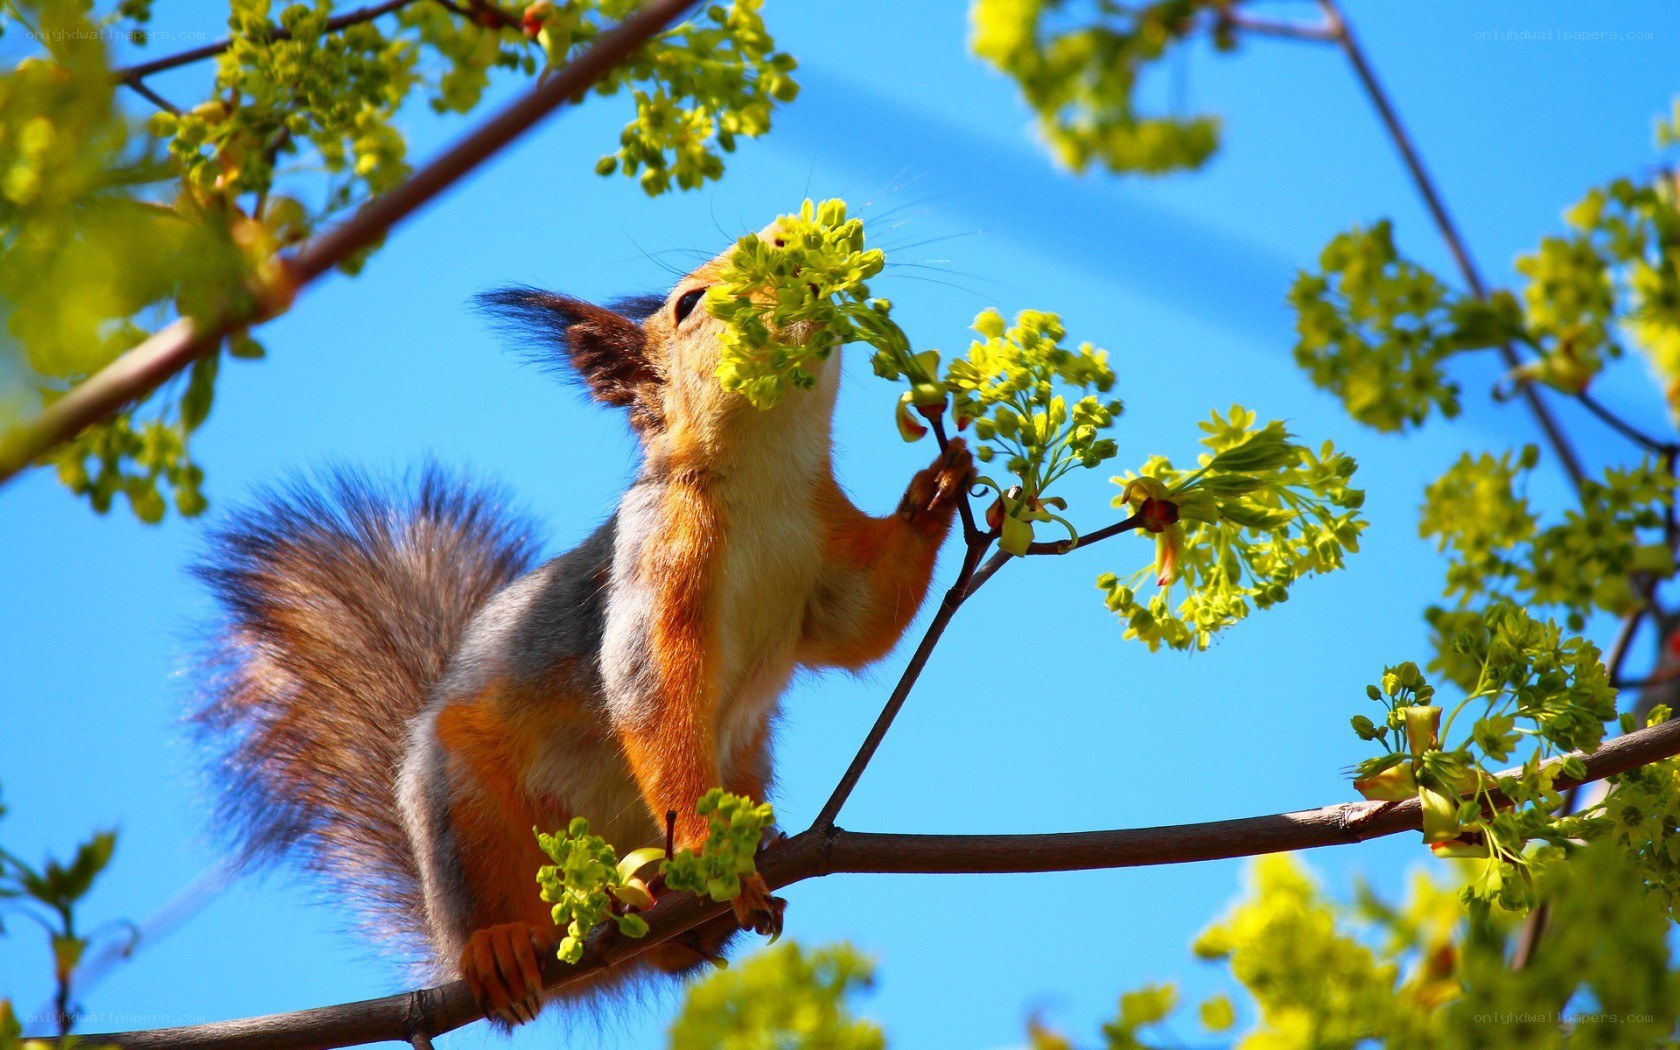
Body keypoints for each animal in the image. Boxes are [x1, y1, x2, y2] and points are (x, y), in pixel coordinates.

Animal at [192, 220, 974, 1025]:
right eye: (690, 303)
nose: (792, 243)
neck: (765, 475)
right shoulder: (657, 556)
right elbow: (650, 692)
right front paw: (709, 848)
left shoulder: (826, 559)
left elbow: (864, 623)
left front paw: (937, 488)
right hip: (465, 808)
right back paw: (501, 946)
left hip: (745, 768)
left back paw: (695, 921)